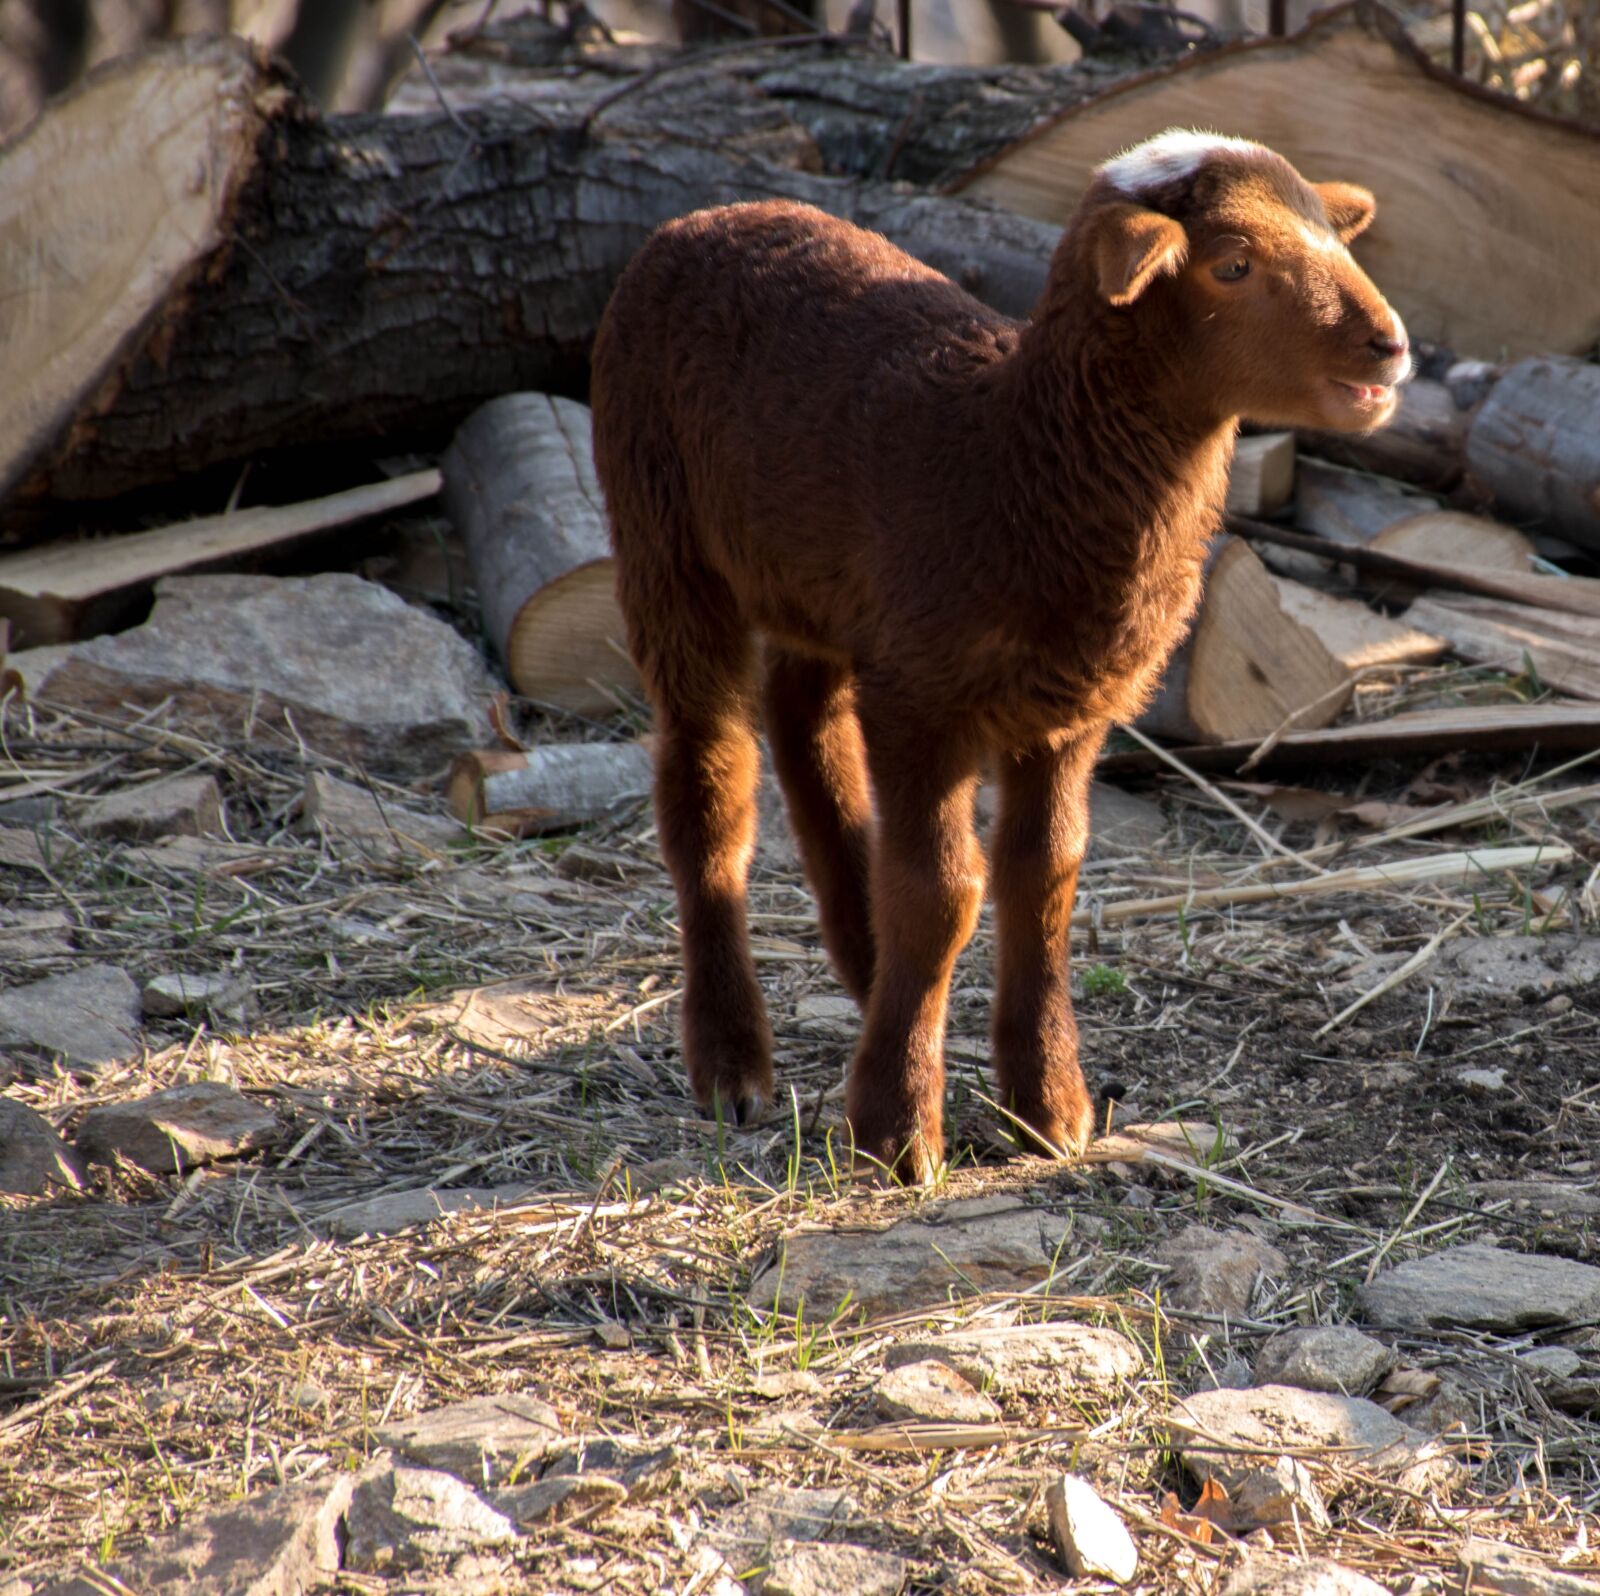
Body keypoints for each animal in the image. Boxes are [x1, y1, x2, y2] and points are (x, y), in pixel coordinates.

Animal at [589, 128, 1409, 1182]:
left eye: (1331, 234)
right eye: (1231, 265)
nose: (1390, 345)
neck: (1014, 454)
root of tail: (705, 215)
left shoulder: (1069, 706)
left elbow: (1044, 877)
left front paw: (1049, 1105)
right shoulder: (924, 698)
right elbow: (943, 892)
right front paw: (899, 1130)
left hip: (827, 589)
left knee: (806, 724)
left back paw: (867, 964)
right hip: (664, 528)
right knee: (710, 783)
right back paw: (734, 1061)